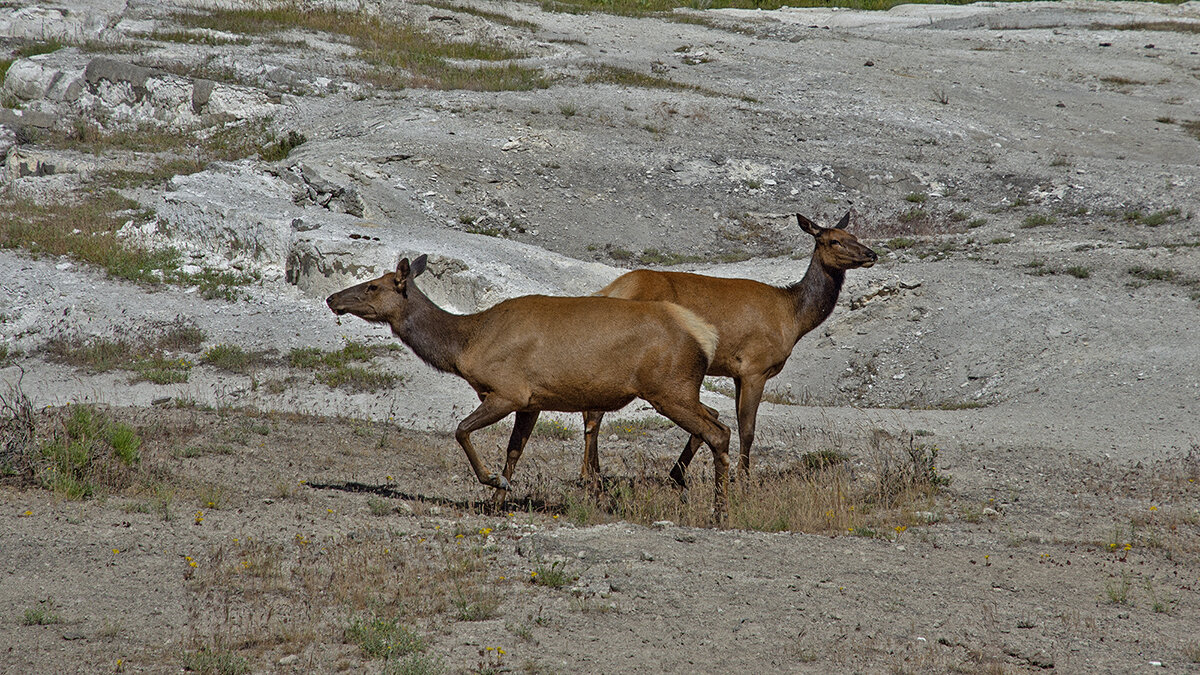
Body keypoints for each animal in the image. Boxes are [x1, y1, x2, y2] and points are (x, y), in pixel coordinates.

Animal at [326, 254, 729, 511]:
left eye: (374, 286)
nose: (331, 298)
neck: (465, 345)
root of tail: (705, 334)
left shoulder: (508, 391)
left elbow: (461, 430)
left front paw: (493, 483)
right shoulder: (532, 402)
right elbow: (514, 451)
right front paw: (496, 501)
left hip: (668, 388)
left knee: (717, 431)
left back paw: (720, 509)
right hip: (680, 389)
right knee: (715, 417)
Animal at [576, 210, 878, 482]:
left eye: (854, 236)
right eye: (833, 240)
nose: (871, 254)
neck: (792, 317)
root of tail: (610, 290)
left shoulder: (736, 373)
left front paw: (680, 475)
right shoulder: (755, 366)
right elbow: (748, 428)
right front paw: (744, 480)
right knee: (595, 411)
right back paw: (590, 477)